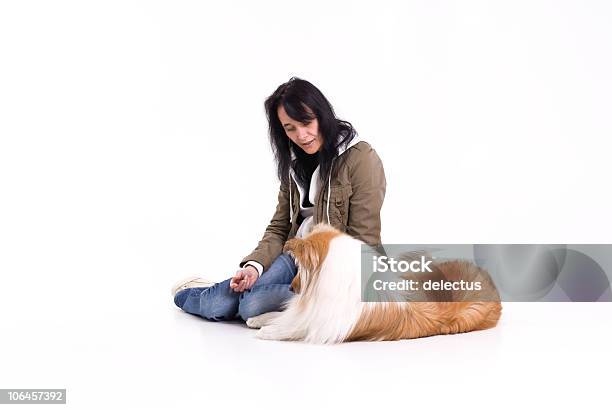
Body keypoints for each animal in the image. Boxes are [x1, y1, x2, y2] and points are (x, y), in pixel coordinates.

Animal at [245, 223, 502, 344]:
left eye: (299, 268)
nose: (291, 288)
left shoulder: (325, 323)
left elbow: (293, 326)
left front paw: (267, 331)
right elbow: (280, 315)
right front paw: (258, 319)